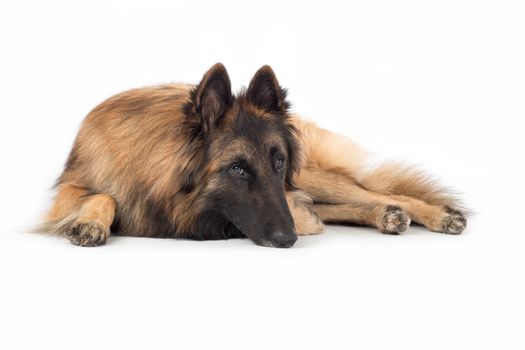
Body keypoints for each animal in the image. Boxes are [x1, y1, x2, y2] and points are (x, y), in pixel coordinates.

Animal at [41, 63, 466, 249]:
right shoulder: (70, 188)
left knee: (381, 193)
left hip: (311, 176)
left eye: (277, 162)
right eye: (237, 169)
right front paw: (90, 223)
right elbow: (103, 194)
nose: (288, 239)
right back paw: (385, 217)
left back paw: (435, 215)